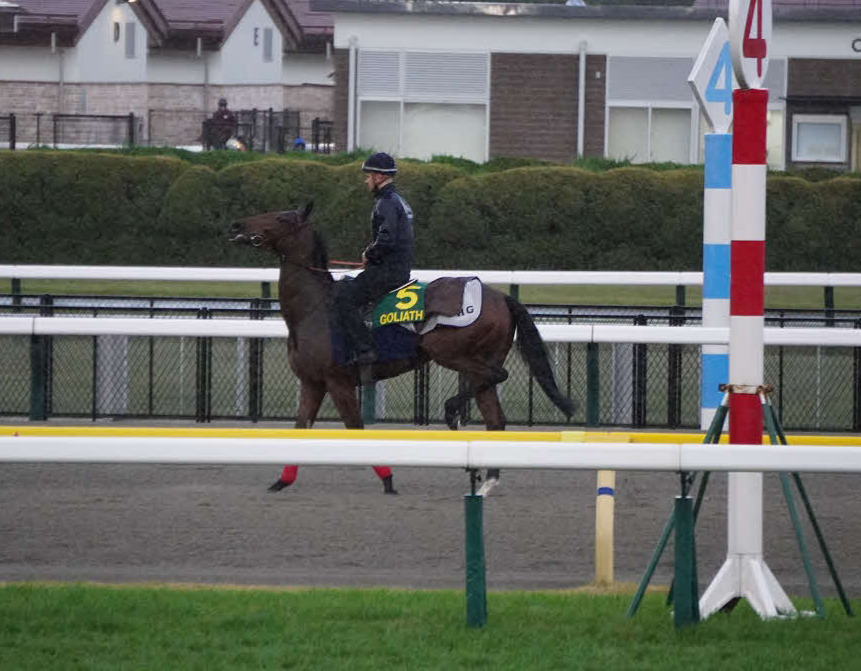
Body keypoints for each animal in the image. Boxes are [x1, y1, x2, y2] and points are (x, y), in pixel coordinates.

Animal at [232, 203, 576, 494]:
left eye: (281, 217)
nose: (238, 224)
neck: (315, 309)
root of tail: (500, 297)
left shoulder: (338, 382)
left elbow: (355, 427)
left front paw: (388, 479)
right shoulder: (312, 382)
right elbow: (300, 427)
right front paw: (281, 481)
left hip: (449, 352)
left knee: (498, 376)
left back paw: (453, 412)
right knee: (495, 418)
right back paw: (487, 481)